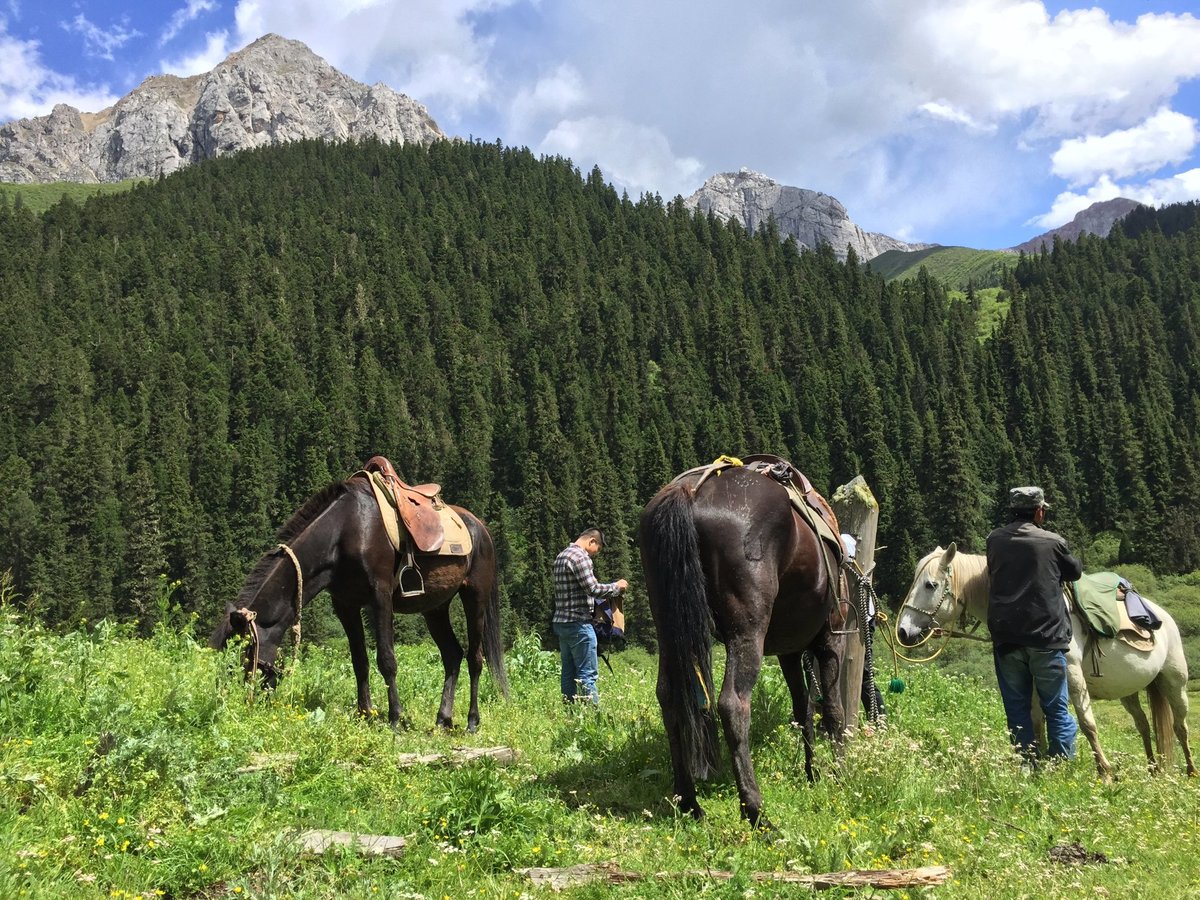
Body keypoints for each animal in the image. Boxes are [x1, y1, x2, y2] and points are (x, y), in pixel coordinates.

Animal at [210, 475, 506, 729]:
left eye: (244, 654)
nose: (243, 703)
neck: (344, 532)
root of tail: (481, 528)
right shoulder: (345, 605)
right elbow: (359, 661)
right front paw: (365, 713)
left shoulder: (380, 598)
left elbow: (386, 659)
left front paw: (395, 719)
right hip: (435, 608)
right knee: (452, 654)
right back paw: (443, 719)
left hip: (475, 598)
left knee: (475, 657)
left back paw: (472, 721)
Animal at [638, 465, 844, 830]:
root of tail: (689, 491)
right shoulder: (830, 639)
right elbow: (832, 710)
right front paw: (840, 775)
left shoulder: (789, 651)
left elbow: (803, 709)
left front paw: (813, 773)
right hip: (746, 631)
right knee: (733, 704)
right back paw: (756, 812)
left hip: (668, 628)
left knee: (670, 697)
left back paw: (688, 802)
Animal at [892, 542, 1190, 782]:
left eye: (930, 585)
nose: (903, 631)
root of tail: (1164, 616)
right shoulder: (1033, 678)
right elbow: (1037, 722)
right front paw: (1042, 765)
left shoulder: (1071, 675)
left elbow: (1087, 723)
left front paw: (1104, 772)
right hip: (1129, 691)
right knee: (1143, 725)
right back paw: (1153, 768)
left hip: (1174, 683)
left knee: (1180, 726)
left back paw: (1189, 771)